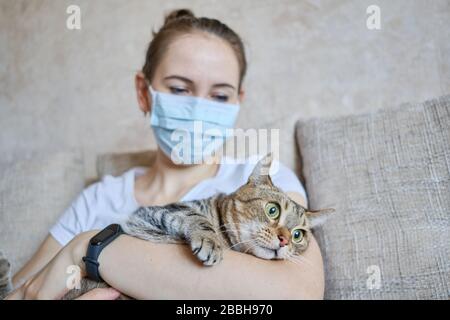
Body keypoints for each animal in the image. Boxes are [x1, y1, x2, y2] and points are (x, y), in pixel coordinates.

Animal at [0, 154, 332, 298]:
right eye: (272, 210)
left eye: (299, 234)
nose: (285, 240)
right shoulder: (154, 213)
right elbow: (196, 218)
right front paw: (210, 242)